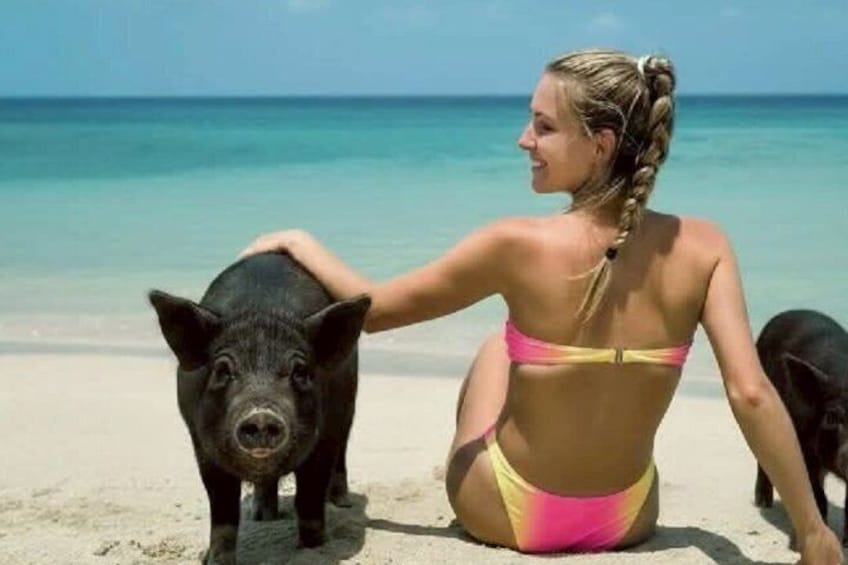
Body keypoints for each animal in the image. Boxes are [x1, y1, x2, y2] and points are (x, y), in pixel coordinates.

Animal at [148, 252, 370, 564]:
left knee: (342, 452)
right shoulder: (202, 445)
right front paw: (215, 559)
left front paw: (314, 548)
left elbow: (310, 498)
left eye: (300, 372)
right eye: (223, 370)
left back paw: (341, 503)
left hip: (348, 407)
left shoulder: (324, 438)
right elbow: (223, 509)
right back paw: (262, 516)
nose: (262, 415)